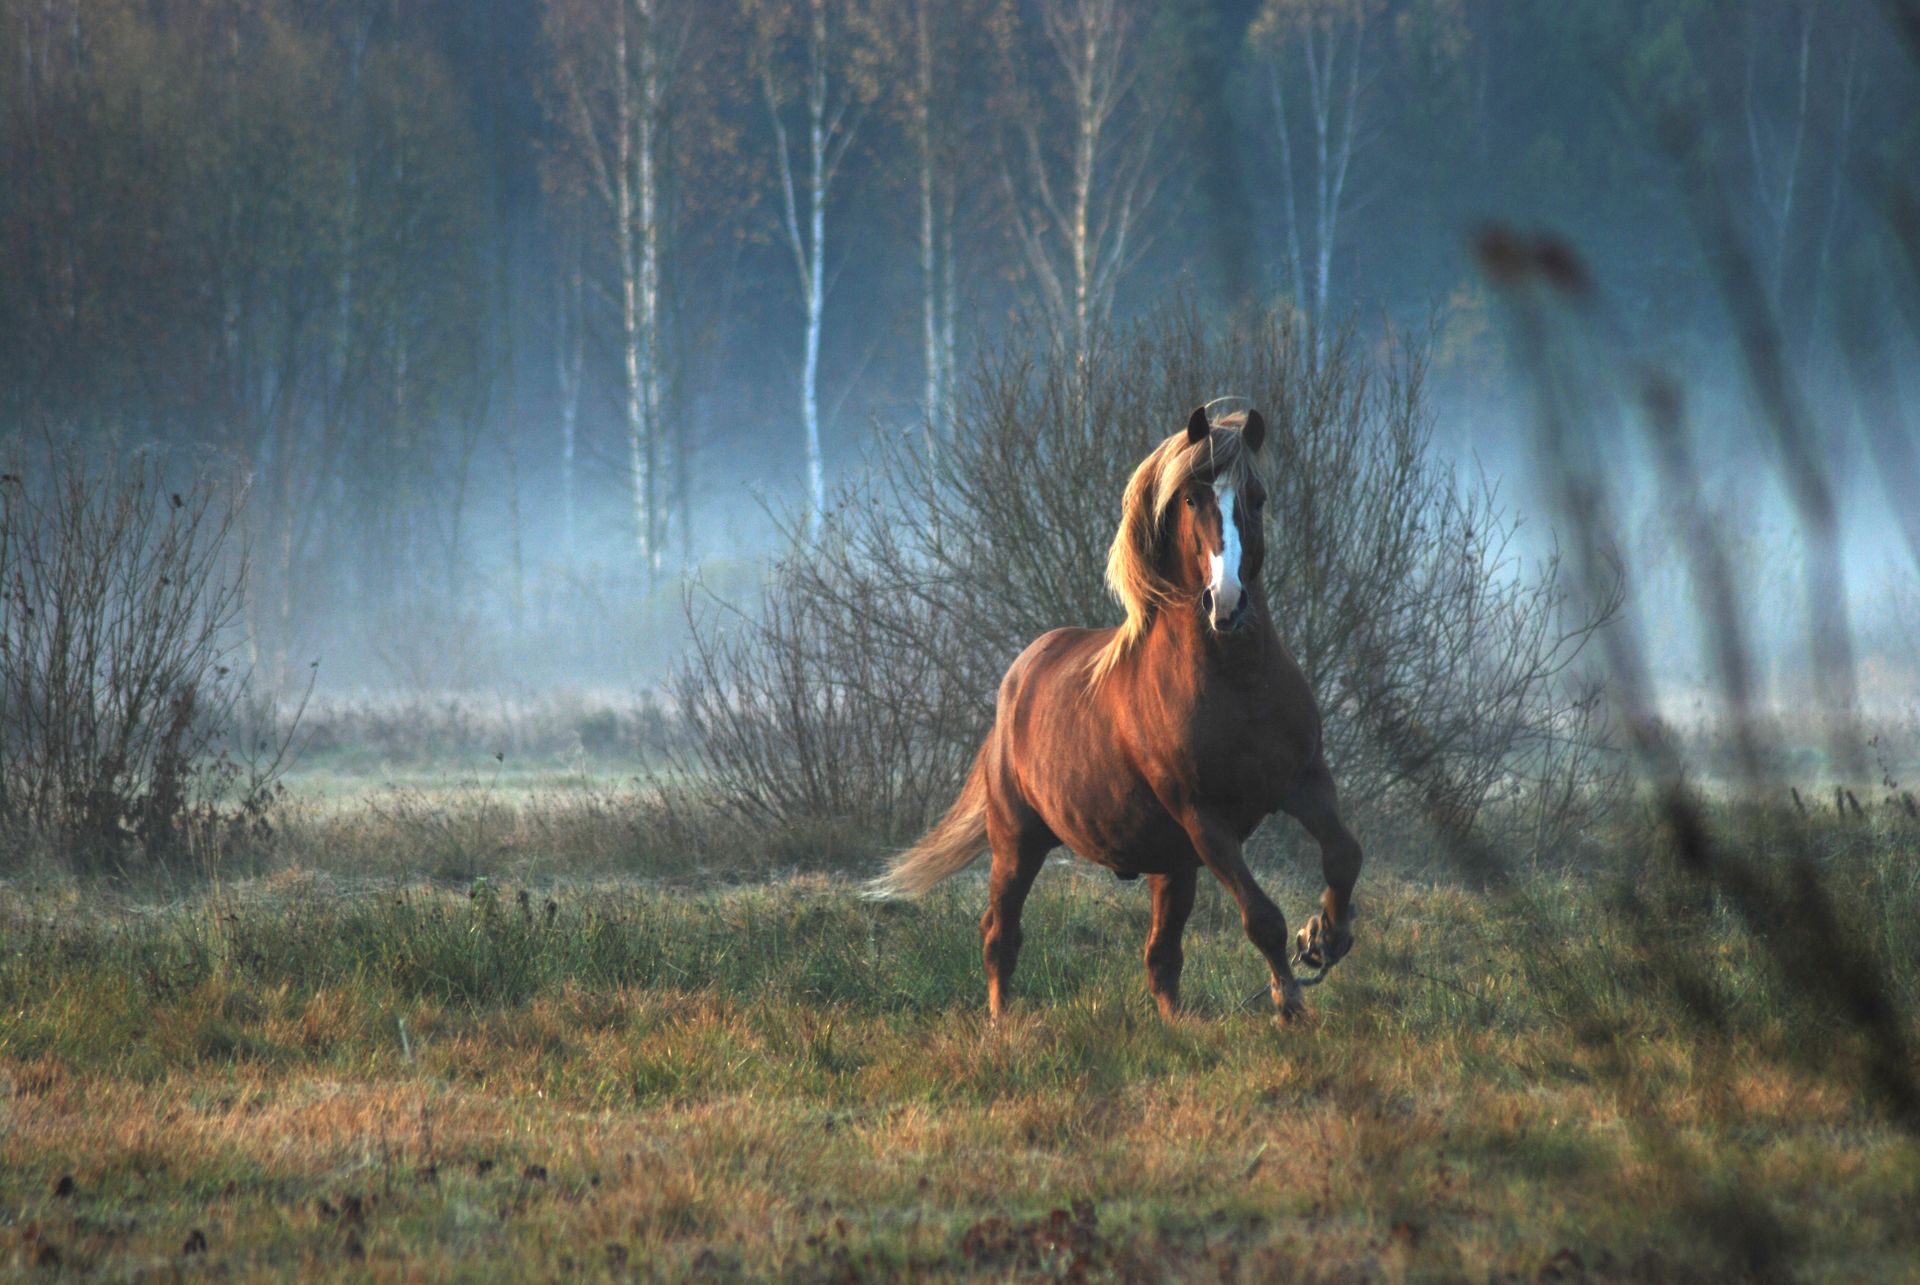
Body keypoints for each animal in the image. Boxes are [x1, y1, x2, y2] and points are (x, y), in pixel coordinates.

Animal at [867, 406, 1362, 1023]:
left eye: (1258, 497)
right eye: (1191, 499)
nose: (1227, 604)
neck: (1239, 684)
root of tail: (1016, 684)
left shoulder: (1304, 781)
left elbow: (1344, 855)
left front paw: (1324, 938)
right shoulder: (1205, 818)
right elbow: (1261, 917)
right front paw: (1289, 1000)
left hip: (1170, 863)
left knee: (1161, 955)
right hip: (1018, 840)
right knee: (999, 934)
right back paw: (1002, 1024)